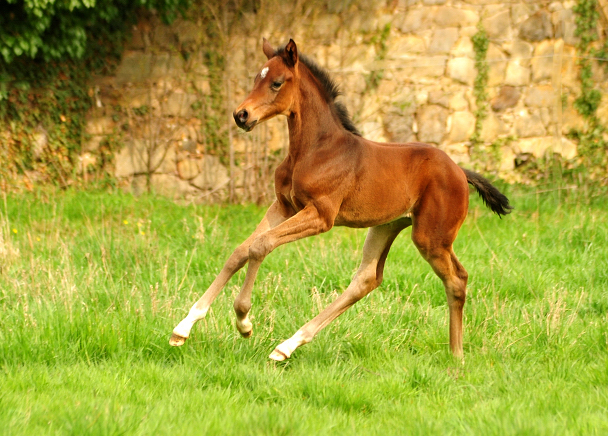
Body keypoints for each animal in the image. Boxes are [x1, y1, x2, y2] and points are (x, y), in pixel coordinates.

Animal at [169, 38, 510, 362]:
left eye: (276, 82)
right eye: (255, 78)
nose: (241, 115)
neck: (314, 150)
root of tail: (460, 171)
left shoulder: (321, 215)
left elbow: (260, 245)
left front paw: (244, 321)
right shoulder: (284, 206)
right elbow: (240, 251)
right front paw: (183, 327)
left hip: (431, 237)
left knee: (457, 279)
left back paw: (457, 356)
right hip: (386, 226)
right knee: (366, 279)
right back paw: (286, 347)